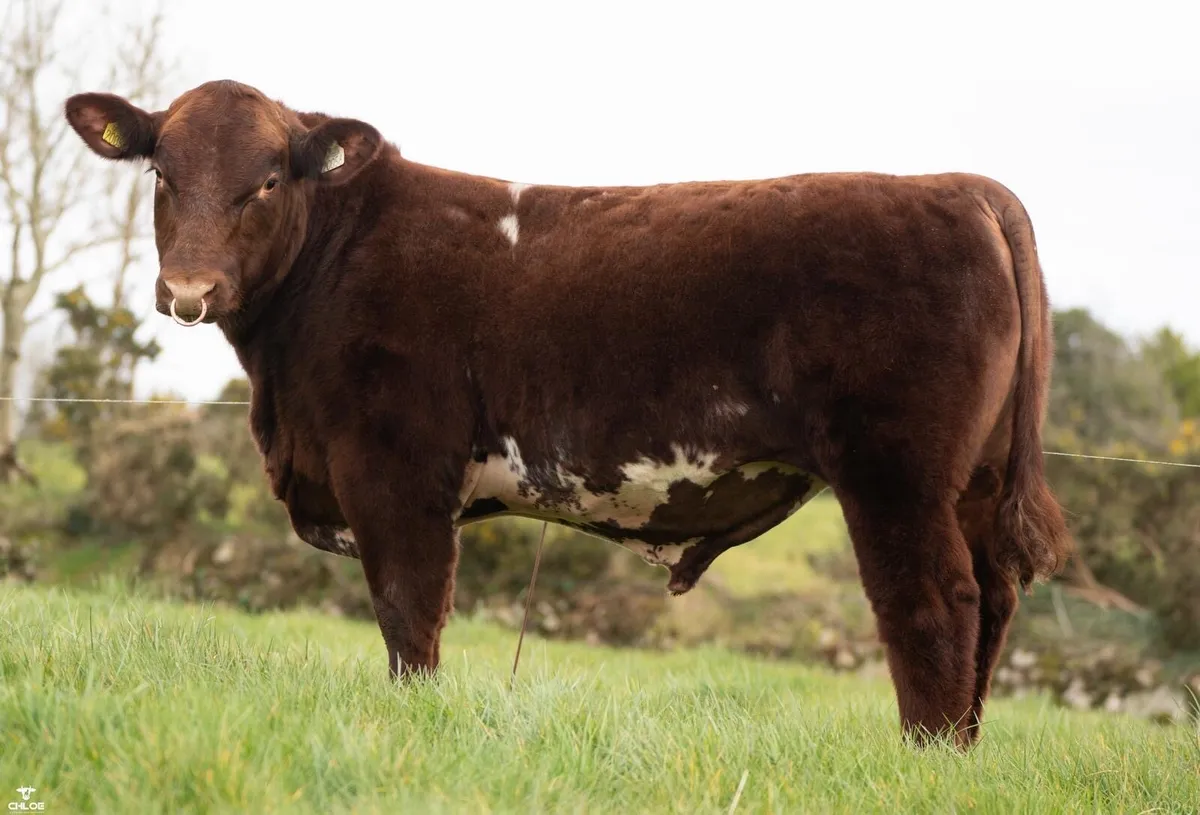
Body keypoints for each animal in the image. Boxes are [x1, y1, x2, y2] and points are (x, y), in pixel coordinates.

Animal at [64, 79, 1072, 749]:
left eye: (269, 180)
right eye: (161, 171)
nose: (189, 289)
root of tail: (958, 184)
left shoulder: (394, 469)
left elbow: (408, 616)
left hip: (895, 469)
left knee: (935, 599)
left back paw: (927, 753)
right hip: (973, 479)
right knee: (994, 599)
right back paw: (964, 750)